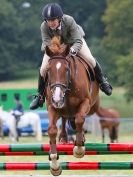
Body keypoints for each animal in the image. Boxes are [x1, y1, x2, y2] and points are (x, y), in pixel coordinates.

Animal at [44, 36, 99, 176]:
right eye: (48, 71)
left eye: (67, 69)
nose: (57, 98)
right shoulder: (52, 107)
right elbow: (52, 129)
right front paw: (54, 163)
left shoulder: (85, 102)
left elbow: (79, 120)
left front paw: (79, 148)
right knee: (64, 119)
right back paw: (63, 138)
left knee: (77, 119)